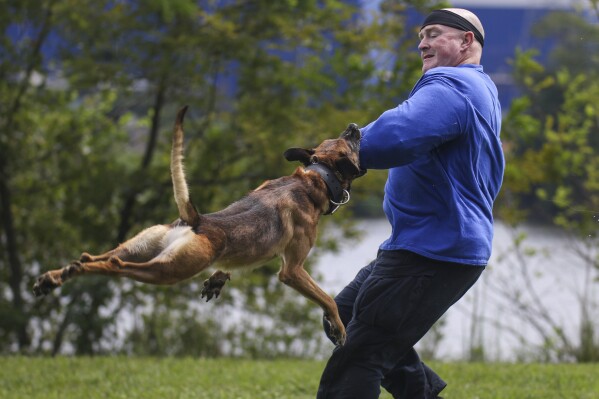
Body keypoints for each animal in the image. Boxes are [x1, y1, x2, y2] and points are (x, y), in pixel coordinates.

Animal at [34, 107, 366, 346]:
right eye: (349, 141)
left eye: (340, 136)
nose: (353, 125)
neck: (316, 176)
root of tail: (195, 220)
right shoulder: (293, 270)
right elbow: (327, 299)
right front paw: (338, 328)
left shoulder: (255, 251)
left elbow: (236, 262)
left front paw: (218, 279)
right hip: (170, 269)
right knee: (116, 266)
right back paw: (69, 274)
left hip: (142, 246)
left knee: (91, 257)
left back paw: (55, 277)